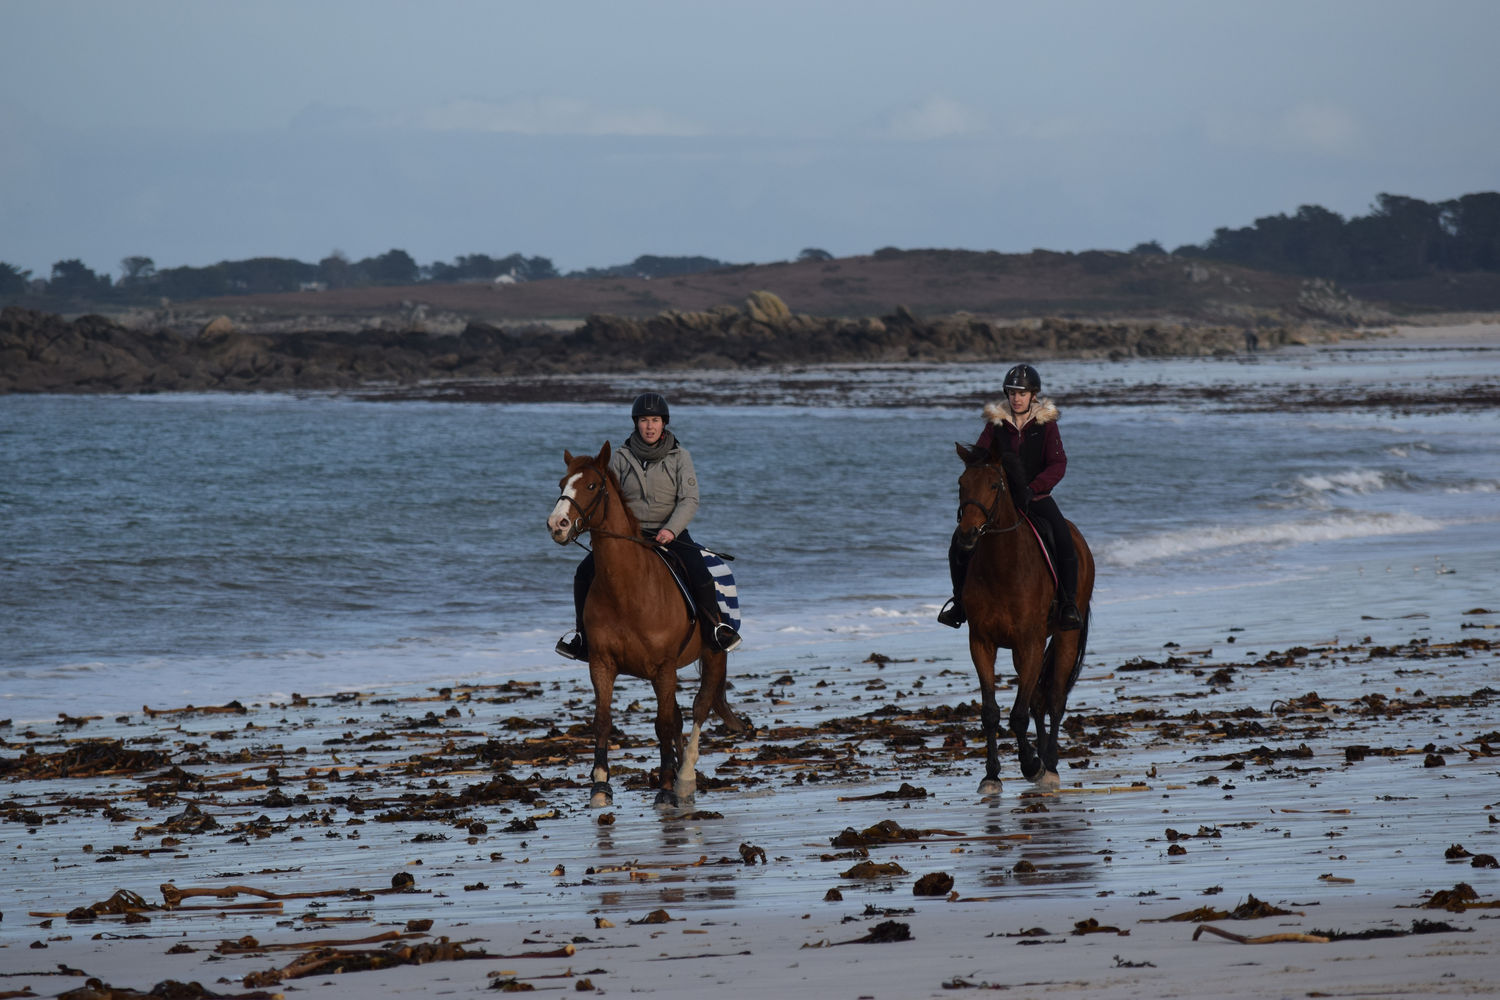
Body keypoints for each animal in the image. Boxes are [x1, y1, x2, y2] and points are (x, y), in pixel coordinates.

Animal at [546, 440, 744, 809]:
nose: (557, 524)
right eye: (562, 483)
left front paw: (666, 788)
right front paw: (600, 785)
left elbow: (664, 723)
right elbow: (603, 720)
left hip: (713, 655)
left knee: (699, 708)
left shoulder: (663, 668)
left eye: (591, 485)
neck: (629, 588)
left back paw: (684, 779)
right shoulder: (602, 664)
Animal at [954, 440, 1098, 791]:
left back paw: (1050, 764)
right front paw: (992, 774)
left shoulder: (1029, 642)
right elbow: (991, 712)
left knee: (1055, 698)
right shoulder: (982, 643)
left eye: (994, 485)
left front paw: (1031, 765)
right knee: (1036, 700)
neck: (1002, 567)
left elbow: (1019, 714)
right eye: (961, 484)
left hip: (1065, 635)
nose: (966, 535)